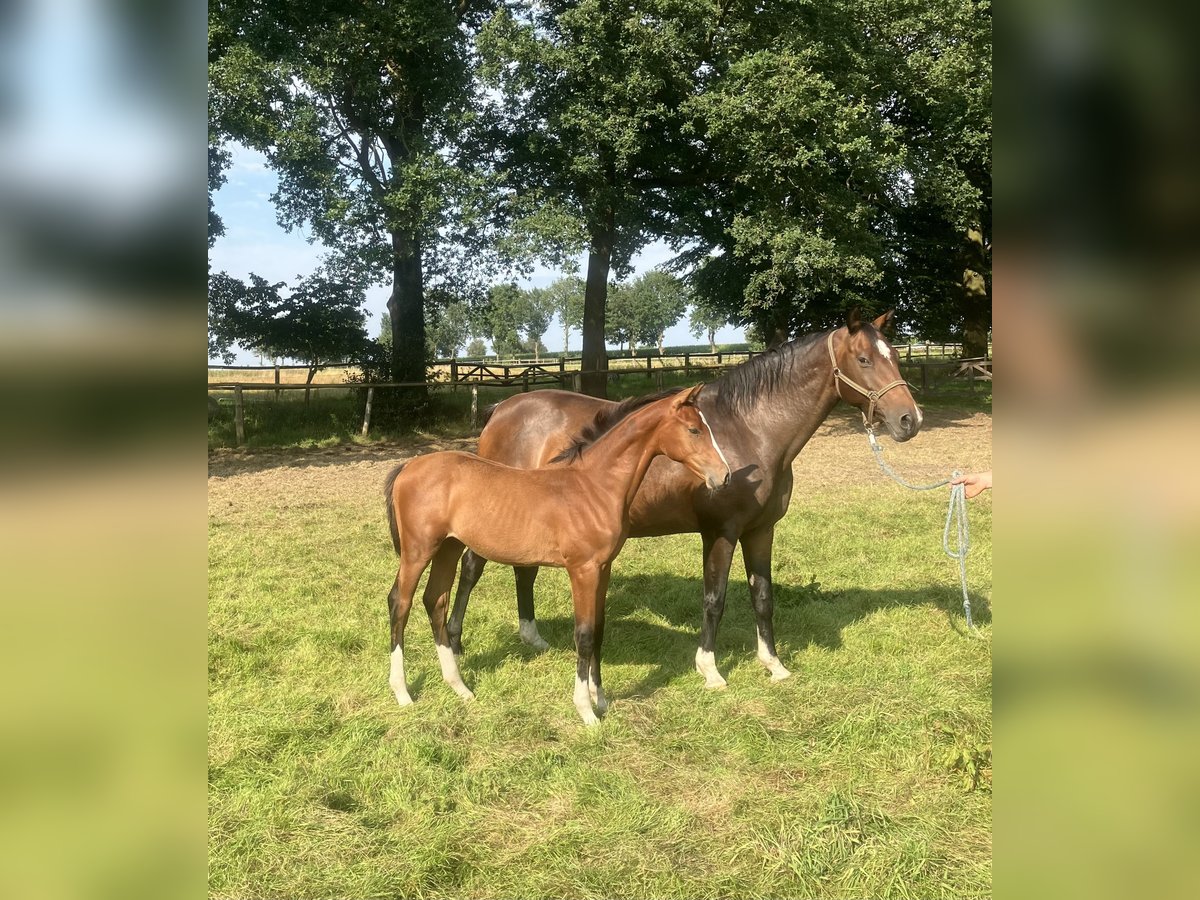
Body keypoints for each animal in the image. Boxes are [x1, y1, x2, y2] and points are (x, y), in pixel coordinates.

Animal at [381, 386, 729, 724]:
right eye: (694, 429)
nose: (723, 476)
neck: (593, 486)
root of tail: (407, 466)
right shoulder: (582, 570)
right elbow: (584, 634)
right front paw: (586, 711)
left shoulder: (604, 568)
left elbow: (599, 629)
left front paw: (601, 699)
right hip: (418, 550)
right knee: (400, 602)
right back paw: (402, 692)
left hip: (448, 548)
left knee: (435, 601)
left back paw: (459, 687)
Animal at [446, 309, 921, 691]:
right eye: (864, 359)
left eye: (896, 357)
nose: (908, 420)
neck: (749, 429)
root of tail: (503, 409)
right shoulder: (721, 532)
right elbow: (714, 600)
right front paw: (710, 670)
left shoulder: (761, 530)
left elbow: (762, 597)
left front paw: (774, 664)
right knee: (470, 570)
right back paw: (455, 642)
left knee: (523, 570)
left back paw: (533, 637)